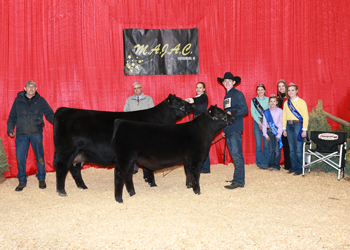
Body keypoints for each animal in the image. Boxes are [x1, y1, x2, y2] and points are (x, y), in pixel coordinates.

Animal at [53, 93, 194, 196]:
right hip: (67, 151)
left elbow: (147, 169)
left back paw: (83, 186)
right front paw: (153, 184)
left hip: (79, 154)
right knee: (62, 168)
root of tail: (64, 109)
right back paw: (62, 191)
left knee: (75, 169)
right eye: (179, 101)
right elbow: (149, 169)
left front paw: (148, 182)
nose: (192, 106)